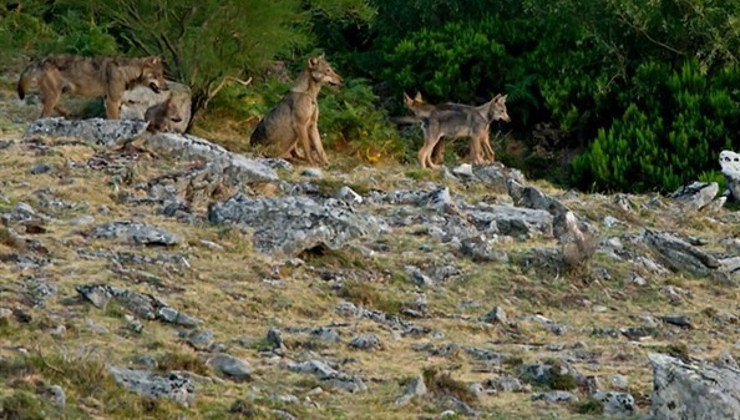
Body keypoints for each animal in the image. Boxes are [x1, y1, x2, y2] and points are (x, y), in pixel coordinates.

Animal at [17, 54, 169, 119]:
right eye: (157, 75)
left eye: (162, 75)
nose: (167, 87)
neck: (127, 72)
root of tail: (41, 60)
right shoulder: (112, 101)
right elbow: (115, 120)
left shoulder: (109, 101)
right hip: (55, 94)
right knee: (43, 114)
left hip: (59, 92)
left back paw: (67, 113)